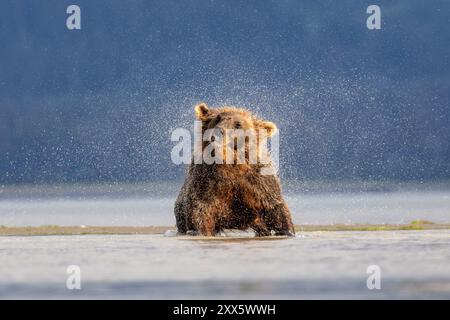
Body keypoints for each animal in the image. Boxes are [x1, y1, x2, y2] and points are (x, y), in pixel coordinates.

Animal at [173, 104, 296, 236]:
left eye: (238, 124)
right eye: (217, 118)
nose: (218, 132)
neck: (230, 164)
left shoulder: (258, 180)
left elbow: (274, 206)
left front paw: (287, 231)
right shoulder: (207, 180)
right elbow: (201, 209)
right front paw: (202, 231)